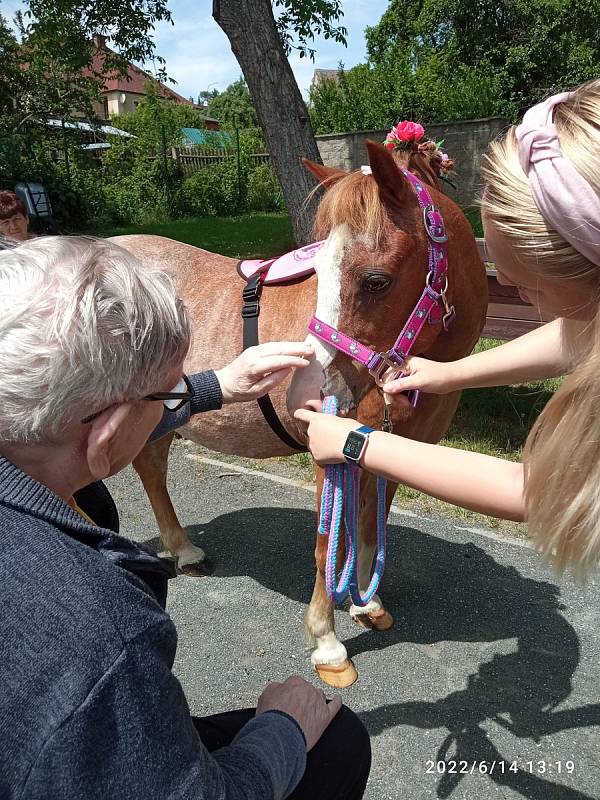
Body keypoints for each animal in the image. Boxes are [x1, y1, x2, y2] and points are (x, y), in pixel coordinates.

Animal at [113, 139, 488, 688]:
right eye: (320, 271)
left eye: (376, 280)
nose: (313, 387)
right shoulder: (326, 453)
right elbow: (327, 540)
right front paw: (326, 642)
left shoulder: (388, 455)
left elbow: (370, 526)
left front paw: (366, 603)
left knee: (150, 468)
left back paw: (182, 549)